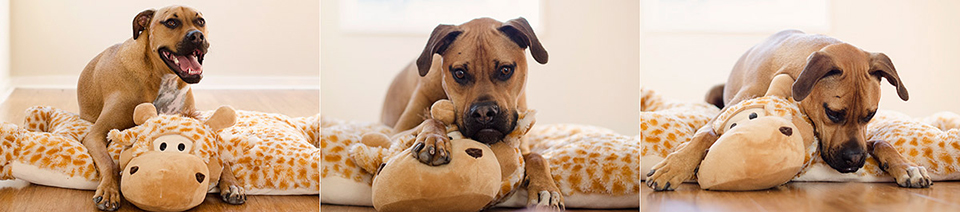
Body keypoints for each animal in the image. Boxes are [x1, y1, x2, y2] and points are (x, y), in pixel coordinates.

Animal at [76, 5, 244, 210]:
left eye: (200, 21)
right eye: (171, 22)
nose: (197, 36)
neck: (164, 78)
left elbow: (222, 158)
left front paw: (233, 184)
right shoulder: (96, 134)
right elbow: (109, 163)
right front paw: (109, 190)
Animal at [378, 17, 564, 209]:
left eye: (505, 70)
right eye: (459, 73)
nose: (484, 112)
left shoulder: (523, 146)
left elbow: (536, 156)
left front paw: (545, 188)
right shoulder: (395, 134)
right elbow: (431, 121)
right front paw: (434, 139)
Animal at [644, 29, 928, 190]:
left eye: (870, 115)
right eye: (833, 113)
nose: (856, 160)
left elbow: (881, 141)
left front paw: (906, 166)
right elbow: (706, 133)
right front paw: (675, 165)